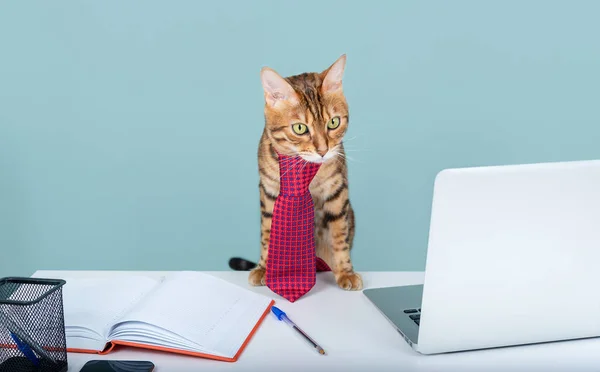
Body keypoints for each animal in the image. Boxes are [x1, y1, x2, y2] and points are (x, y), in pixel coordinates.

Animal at [247, 54, 364, 290]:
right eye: (300, 128)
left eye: (333, 122)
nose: (323, 151)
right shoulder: (269, 192)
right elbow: (267, 234)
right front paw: (264, 268)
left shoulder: (337, 192)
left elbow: (340, 236)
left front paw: (346, 272)